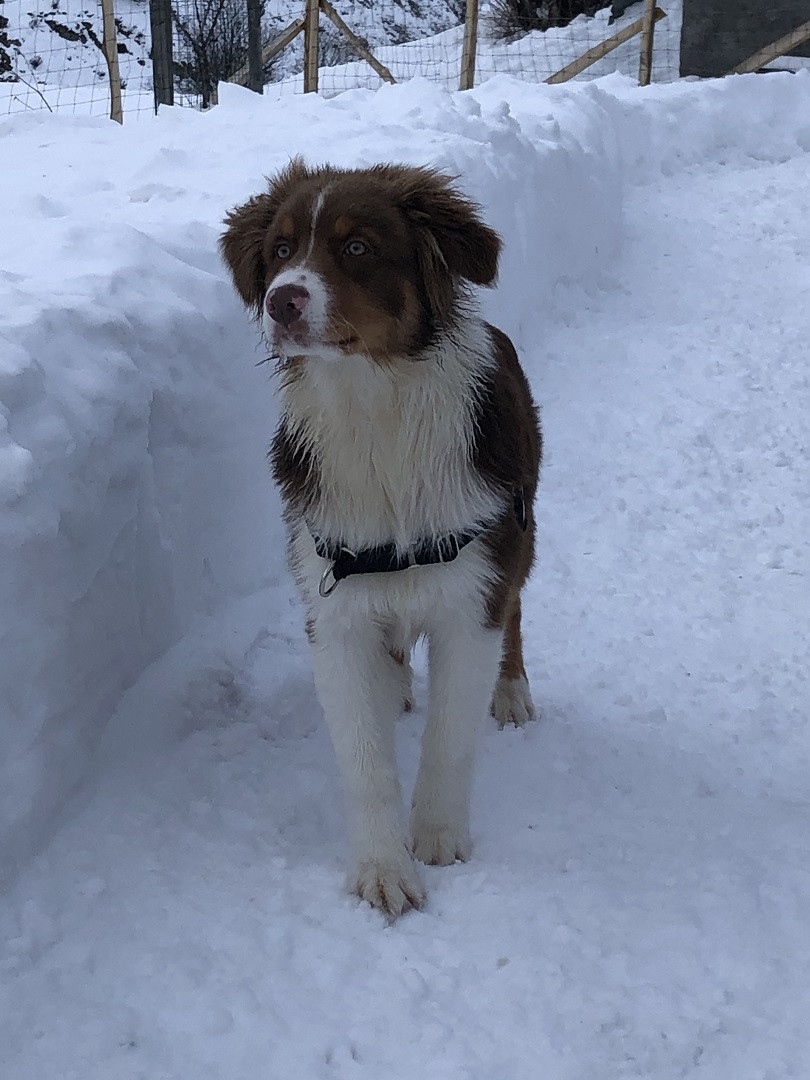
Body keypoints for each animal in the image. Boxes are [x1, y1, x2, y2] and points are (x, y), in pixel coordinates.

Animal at [220, 162, 546, 920]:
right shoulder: (332, 606)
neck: (372, 406)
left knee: (518, 606)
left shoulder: (471, 597)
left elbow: (450, 734)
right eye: (281, 250)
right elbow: (364, 760)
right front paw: (381, 869)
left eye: (358, 247)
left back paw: (512, 690)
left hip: (522, 525)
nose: (281, 300)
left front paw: (437, 836)